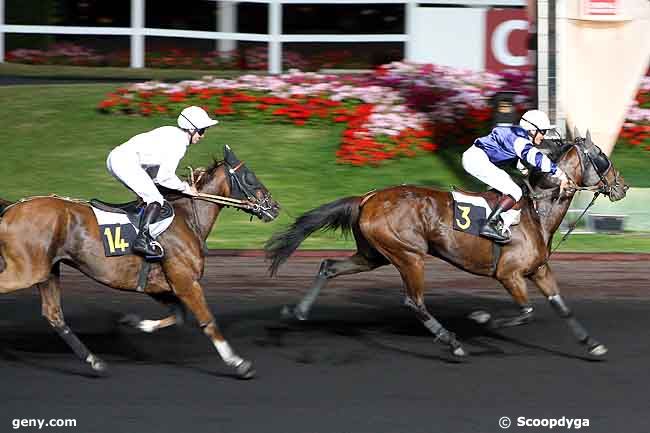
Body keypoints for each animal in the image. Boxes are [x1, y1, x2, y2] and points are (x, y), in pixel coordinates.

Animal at [0, 145, 278, 374]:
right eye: (250, 176)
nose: (274, 207)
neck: (187, 218)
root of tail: (10, 209)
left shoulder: (160, 285)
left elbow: (178, 316)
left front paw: (133, 322)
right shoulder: (186, 282)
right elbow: (207, 321)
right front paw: (239, 363)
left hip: (47, 270)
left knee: (54, 314)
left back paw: (94, 361)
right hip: (27, 271)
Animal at [266, 131, 624, 358]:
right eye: (602, 157)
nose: (621, 185)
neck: (537, 211)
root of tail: (367, 197)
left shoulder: (539, 270)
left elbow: (562, 307)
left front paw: (592, 344)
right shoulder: (509, 275)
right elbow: (526, 311)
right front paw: (481, 318)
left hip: (373, 254)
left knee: (329, 266)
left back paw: (297, 311)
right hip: (410, 255)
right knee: (414, 302)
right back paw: (452, 341)